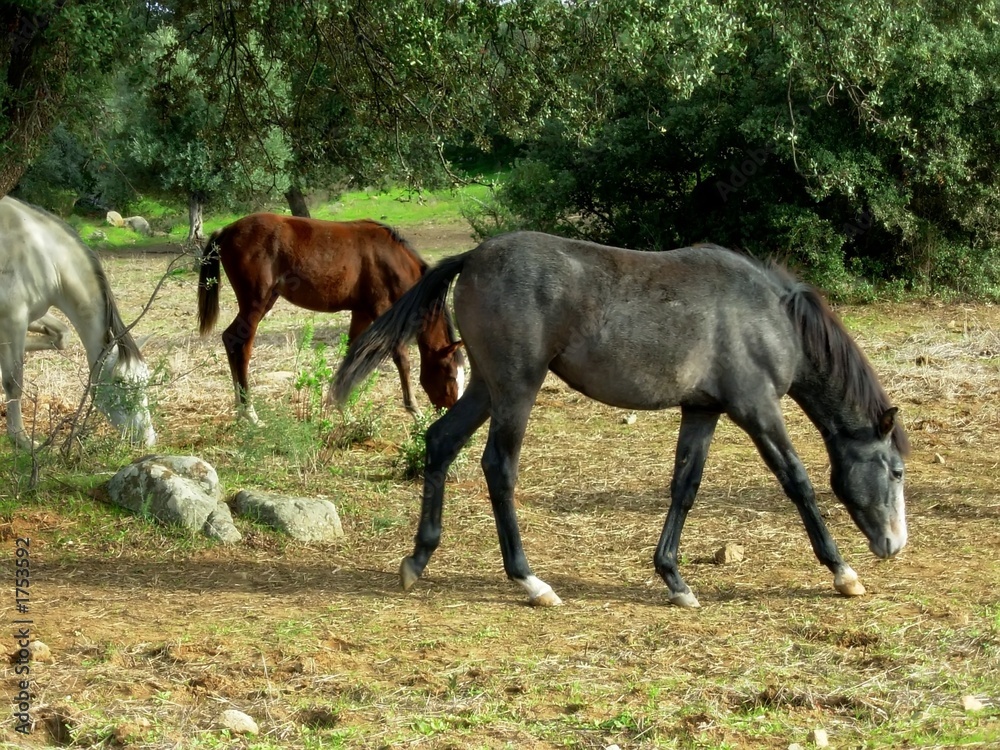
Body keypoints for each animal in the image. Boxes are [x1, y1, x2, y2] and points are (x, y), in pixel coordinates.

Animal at [0, 197, 156, 450]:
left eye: (145, 379)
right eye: (120, 382)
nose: (148, 439)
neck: (40, 254)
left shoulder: (29, 315)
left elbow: (62, 336)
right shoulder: (13, 319)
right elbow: (14, 381)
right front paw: (20, 439)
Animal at [197, 214, 466, 424]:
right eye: (451, 375)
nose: (451, 411)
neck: (391, 258)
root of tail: (227, 230)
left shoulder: (361, 312)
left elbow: (351, 352)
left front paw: (343, 409)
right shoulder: (381, 309)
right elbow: (401, 358)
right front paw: (415, 411)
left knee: (231, 340)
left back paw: (240, 411)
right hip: (256, 303)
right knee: (239, 344)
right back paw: (250, 414)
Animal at [334, 235, 908, 612]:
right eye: (897, 471)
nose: (894, 545)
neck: (768, 315)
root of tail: (473, 257)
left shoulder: (703, 411)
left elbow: (684, 487)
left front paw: (674, 578)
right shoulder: (757, 409)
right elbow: (799, 482)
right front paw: (843, 572)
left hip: (485, 388)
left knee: (440, 442)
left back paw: (417, 560)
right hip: (516, 389)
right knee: (498, 468)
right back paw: (530, 582)